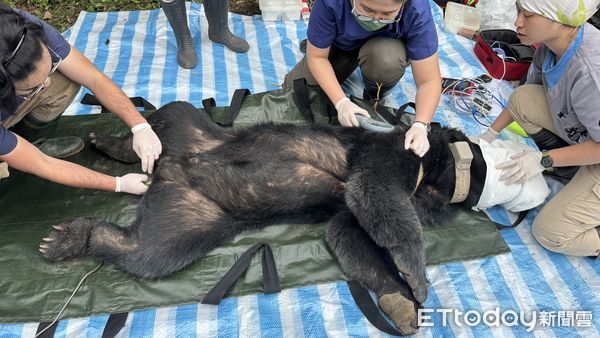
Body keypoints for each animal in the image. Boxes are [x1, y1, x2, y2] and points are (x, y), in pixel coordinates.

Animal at [38, 101, 488, 336]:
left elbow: (350, 232)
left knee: (150, 251)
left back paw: (75, 237)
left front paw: (401, 300)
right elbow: (376, 195)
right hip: (197, 132)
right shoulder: (390, 154)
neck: (430, 177)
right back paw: (116, 143)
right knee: (169, 113)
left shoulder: (347, 210)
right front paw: (415, 273)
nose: (480, 198)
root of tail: (170, 166)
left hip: (191, 213)